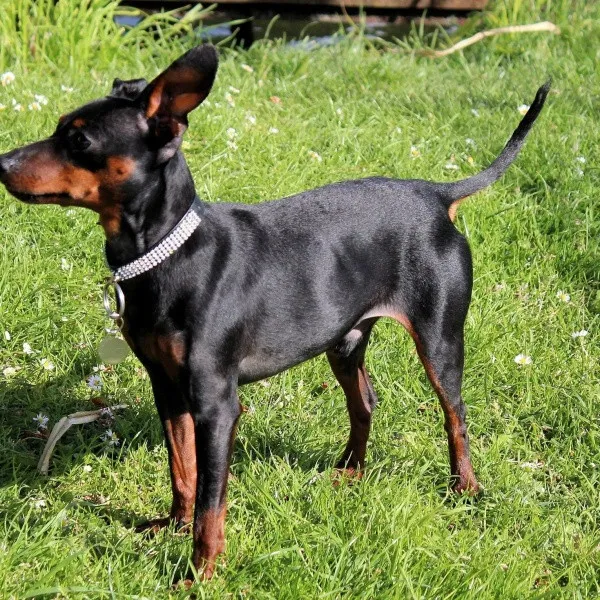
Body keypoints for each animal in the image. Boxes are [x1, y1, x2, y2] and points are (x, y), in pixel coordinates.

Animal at [0, 44, 549, 582]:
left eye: (80, 140)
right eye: (58, 127)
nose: (2, 162)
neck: (168, 253)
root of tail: (437, 195)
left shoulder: (217, 406)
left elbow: (211, 500)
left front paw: (200, 571)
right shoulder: (168, 389)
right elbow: (183, 471)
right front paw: (173, 527)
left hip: (439, 339)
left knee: (455, 415)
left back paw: (465, 488)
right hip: (345, 341)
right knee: (365, 401)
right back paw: (351, 471)